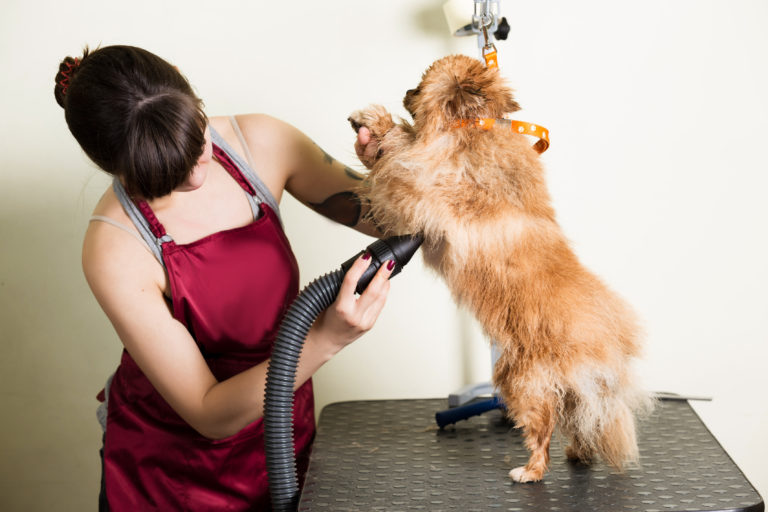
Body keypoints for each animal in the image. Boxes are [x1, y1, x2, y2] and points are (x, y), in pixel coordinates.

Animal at [348, 54, 656, 482]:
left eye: (420, 85)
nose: (407, 91)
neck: (470, 128)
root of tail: (605, 347)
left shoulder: (418, 185)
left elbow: (399, 148)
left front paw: (375, 122)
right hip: (571, 394)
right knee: (581, 425)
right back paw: (577, 455)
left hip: (521, 381)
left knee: (543, 430)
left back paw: (530, 471)